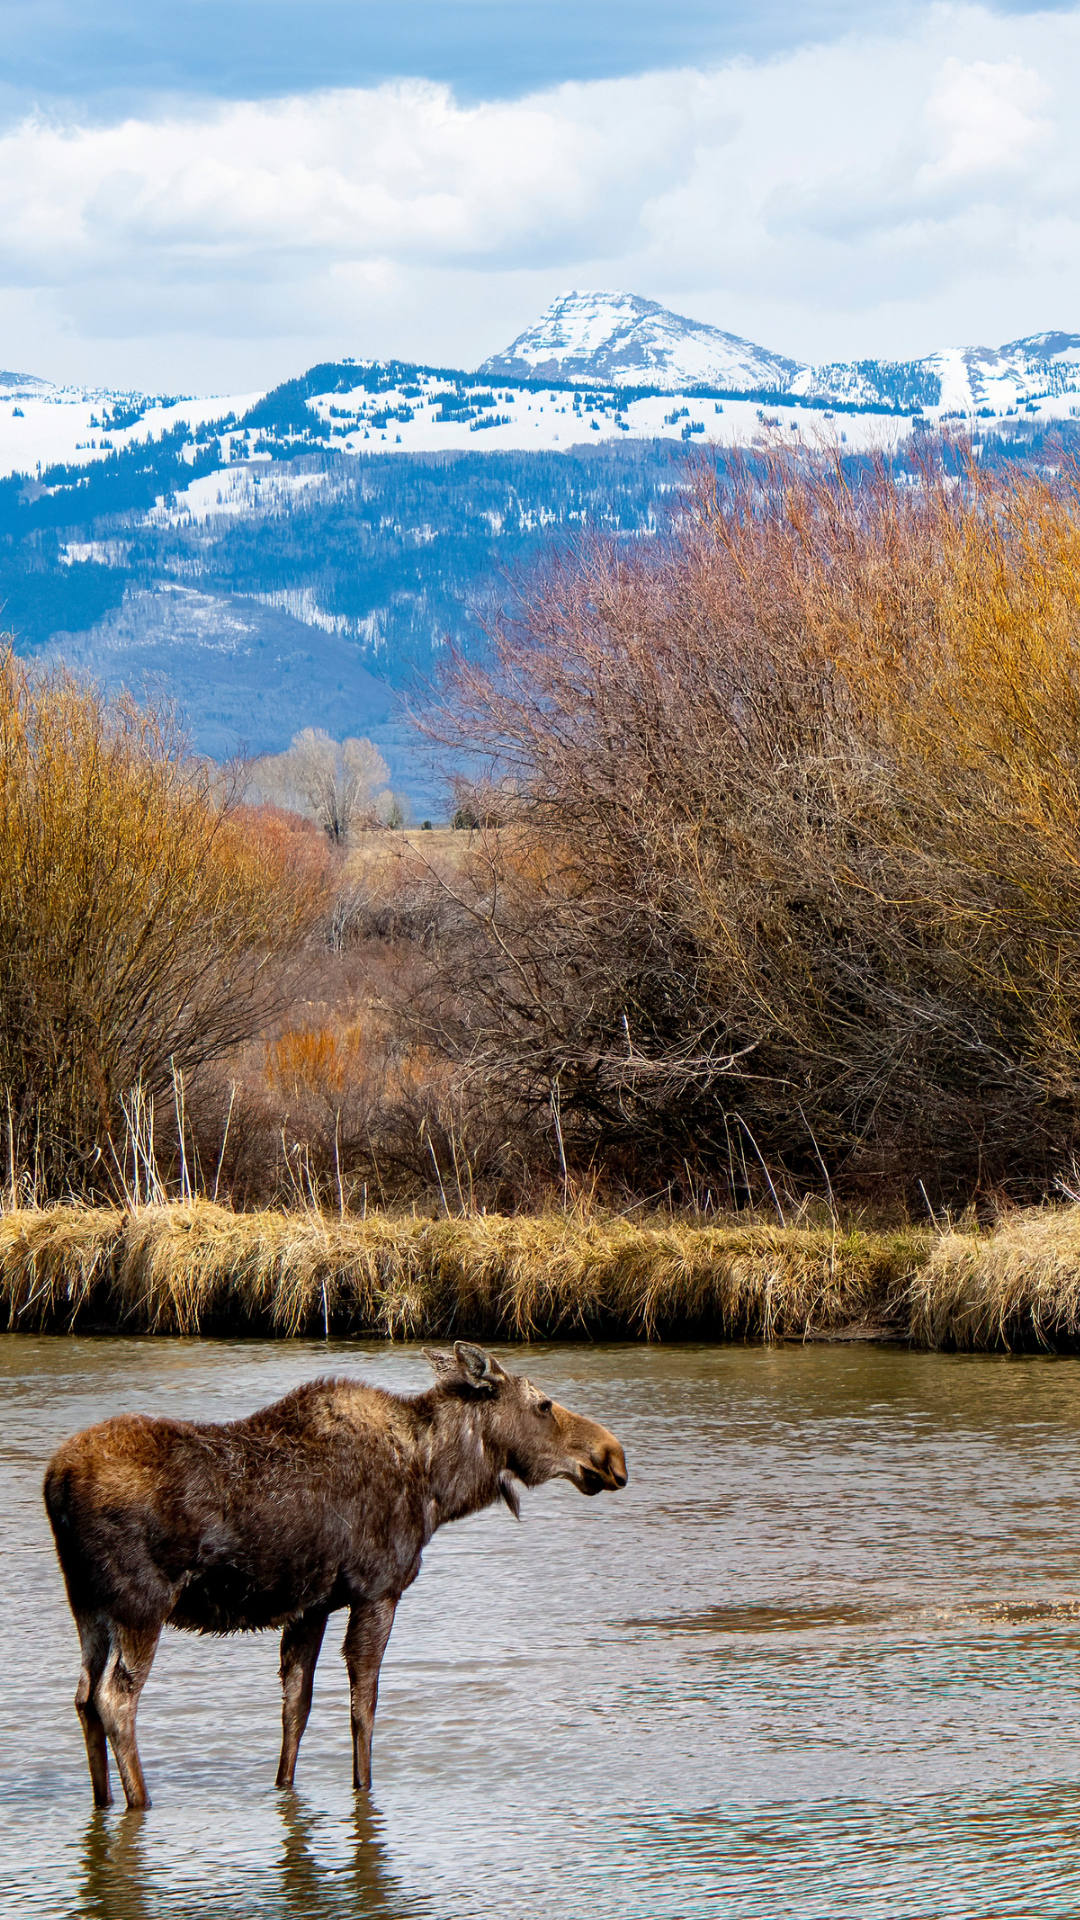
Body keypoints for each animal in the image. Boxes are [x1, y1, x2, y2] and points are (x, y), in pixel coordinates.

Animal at [43, 1341, 628, 1810]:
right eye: (543, 1405)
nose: (612, 1455)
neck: (438, 1486)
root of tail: (55, 1481)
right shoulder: (378, 1590)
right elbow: (363, 1705)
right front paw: (363, 1787)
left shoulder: (312, 1605)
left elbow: (295, 1708)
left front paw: (285, 1788)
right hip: (141, 1606)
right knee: (115, 1700)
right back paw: (140, 1801)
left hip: (86, 1604)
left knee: (83, 1696)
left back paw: (103, 1800)